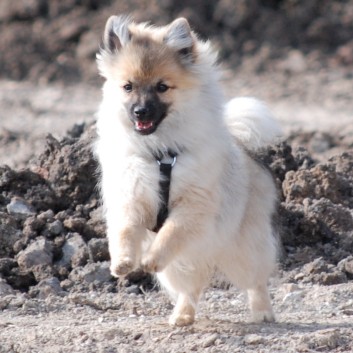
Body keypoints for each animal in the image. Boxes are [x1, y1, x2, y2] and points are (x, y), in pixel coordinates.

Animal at [94, 15, 280, 324]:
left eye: (161, 87)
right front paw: (123, 262)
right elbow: (125, 232)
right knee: (190, 287)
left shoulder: (192, 206)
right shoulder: (131, 197)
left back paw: (263, 312)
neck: (160, 154)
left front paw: (150, 258)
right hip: (183, 264)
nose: (140, 112)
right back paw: (182, 316)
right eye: (128, 87)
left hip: (242, 248)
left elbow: (170, 233)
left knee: (255, 279)